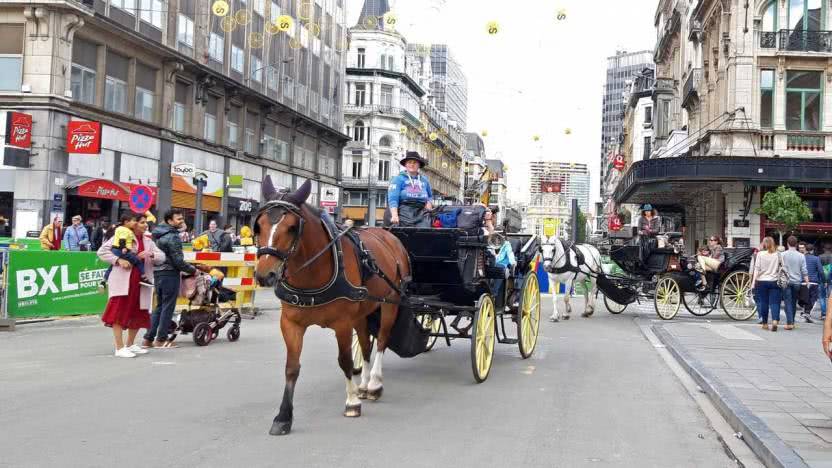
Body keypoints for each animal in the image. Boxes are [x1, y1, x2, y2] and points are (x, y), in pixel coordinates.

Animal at [254, 177, 410, 436]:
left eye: (292, 227)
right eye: (258, 226)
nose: (265, 275)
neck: (311, 273)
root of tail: (389, 235)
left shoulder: (342, 323)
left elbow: (345, 360)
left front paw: (352, 402)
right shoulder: (290, 323)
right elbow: (291, 367)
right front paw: (283, 416)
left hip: (390, 302)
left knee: (381, 340)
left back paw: (374, 383)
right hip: (363, 309)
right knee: (366, 344)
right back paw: (363, 384)